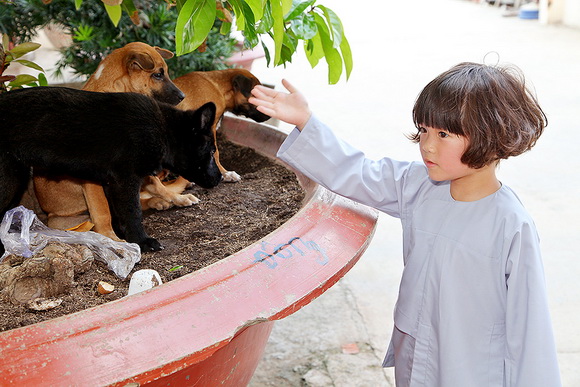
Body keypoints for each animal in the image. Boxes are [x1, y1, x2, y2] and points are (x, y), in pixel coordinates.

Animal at [0, 87, 221, 255]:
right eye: (211, 152)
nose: (219, 178)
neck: (162, 129)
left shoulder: (115, 183)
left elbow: (124, 209)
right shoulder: (125, 180)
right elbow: (132, 212)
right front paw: (141, 241)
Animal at [32, 43, 186, 242]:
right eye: (158, 75)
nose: (182, 96)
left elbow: (156, 185)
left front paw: (176, 197)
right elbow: (102, 210)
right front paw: (110, 237)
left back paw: (160, 201)